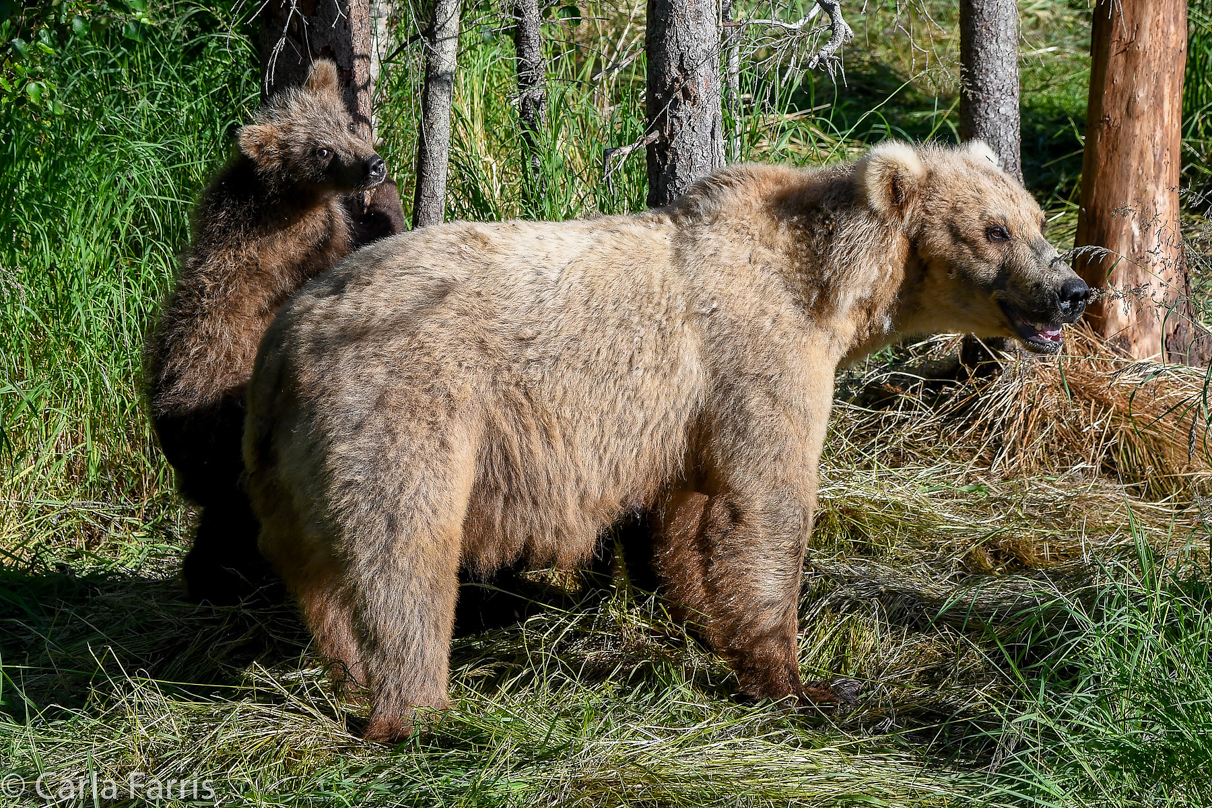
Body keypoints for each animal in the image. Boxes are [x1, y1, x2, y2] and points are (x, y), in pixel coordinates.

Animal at [243, 139, 1090, 741]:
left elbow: (686, 515)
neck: (828, 287)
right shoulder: (755, 356)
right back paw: (420, 710)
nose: (1073, 291)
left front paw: (706, 625)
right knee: (405, 548)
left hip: (283, 455)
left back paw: (350, 676)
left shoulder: (686, 415)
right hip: (404, 406)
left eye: (1036, 217)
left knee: (314, 566)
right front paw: (805, 681)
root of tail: (290, 332)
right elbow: (766, 505)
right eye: (993, 229)